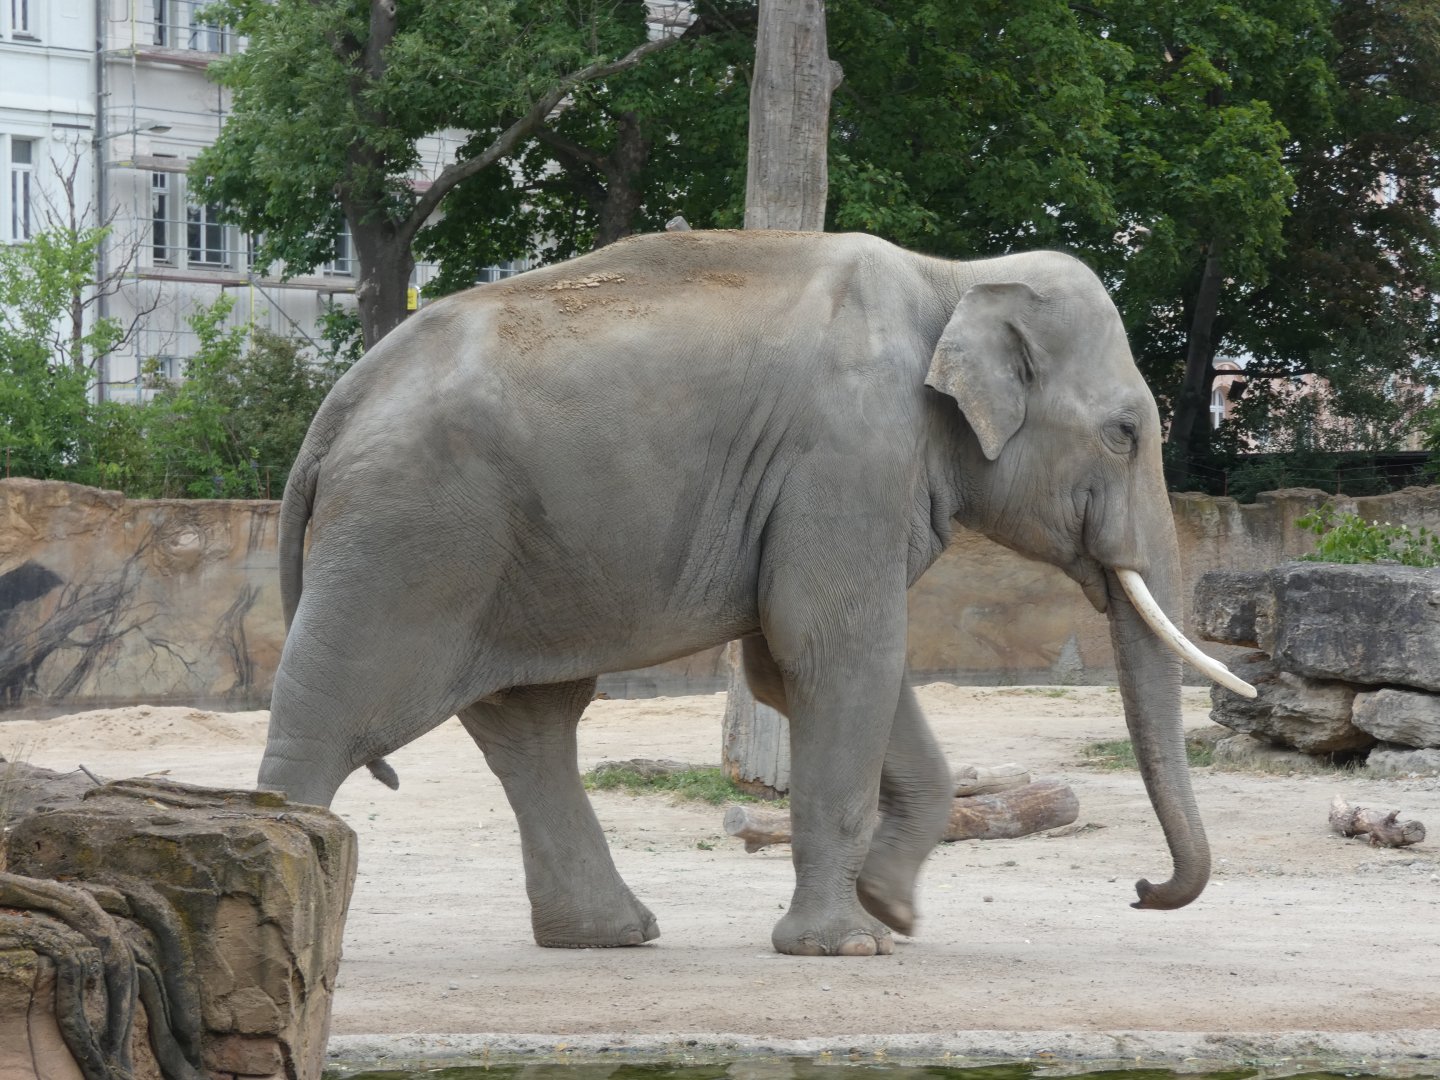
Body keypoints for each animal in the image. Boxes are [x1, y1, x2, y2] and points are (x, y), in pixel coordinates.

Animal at [259, 229, 1254, 957]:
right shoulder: (849, 454)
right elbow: (835, 651)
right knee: (336, 710)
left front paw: (892, 912)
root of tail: (338, 404)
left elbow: (803, 662)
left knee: (531, 723)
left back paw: (611, 936)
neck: (957, 277)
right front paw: (848, 946)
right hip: (409, 533)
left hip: (507, 550)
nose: (1142, 889)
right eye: (1124, 433)